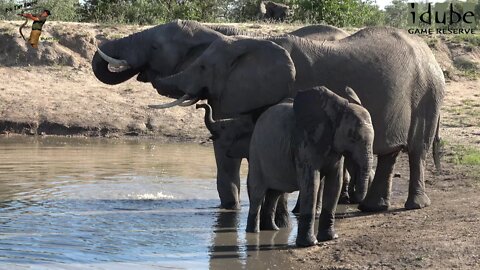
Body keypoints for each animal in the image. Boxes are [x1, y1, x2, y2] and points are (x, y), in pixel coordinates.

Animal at [152, 28, 444, 213]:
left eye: (202, 67)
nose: (199, 101)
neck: (255, 42)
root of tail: (431, 55)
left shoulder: (293, 90)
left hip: (427, 95)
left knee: (417, 150)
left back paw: (415, 205)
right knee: (390, 155)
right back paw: (372, 208)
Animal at [248, 86, 376, 247]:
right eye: (353, 138)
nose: (352, 197)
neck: (334, 113)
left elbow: (335, 183)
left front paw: (330, 238)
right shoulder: (304, 142)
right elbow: (312, 183)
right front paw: (309, 243)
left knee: (274, 193)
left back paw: (272, 229)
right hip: (256, 153)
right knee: (257, 193)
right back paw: (253, 232)